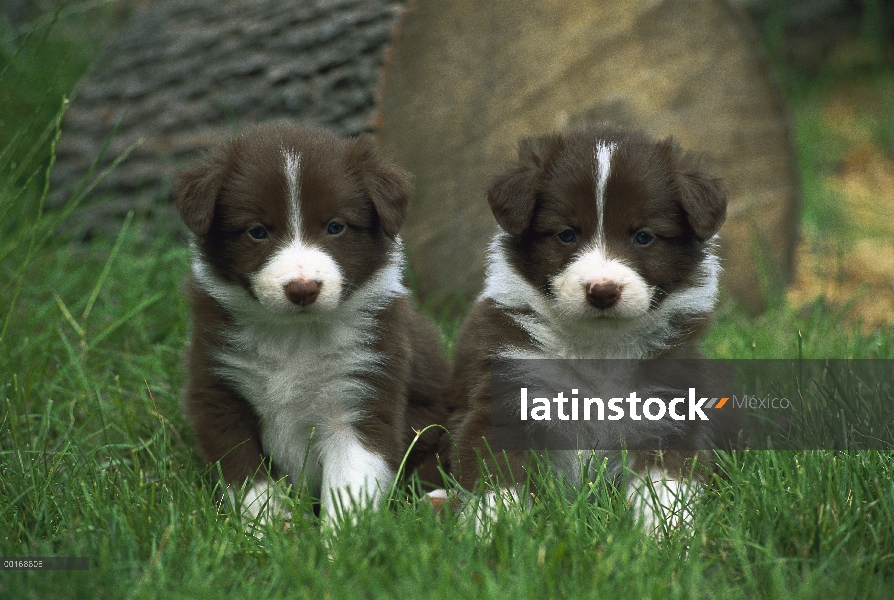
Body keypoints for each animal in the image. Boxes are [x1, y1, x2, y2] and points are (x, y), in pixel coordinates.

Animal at [176, 124, 456, 528]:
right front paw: (268, 529)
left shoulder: (361, 396)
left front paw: (339, 540)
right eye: (257, 231)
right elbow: (247, 478)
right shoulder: (219, 392)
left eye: (335, 227)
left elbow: (350, 487)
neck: (294, 335)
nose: (303, 289)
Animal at [452, 124, 732, 532]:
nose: (602, 291)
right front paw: (496, 534)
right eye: (567, 234)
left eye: (643, 236)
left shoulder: (667, 411)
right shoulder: (508, 395)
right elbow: (497, 479)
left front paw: (664, 537)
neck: (598, 347)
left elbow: (666, 486)